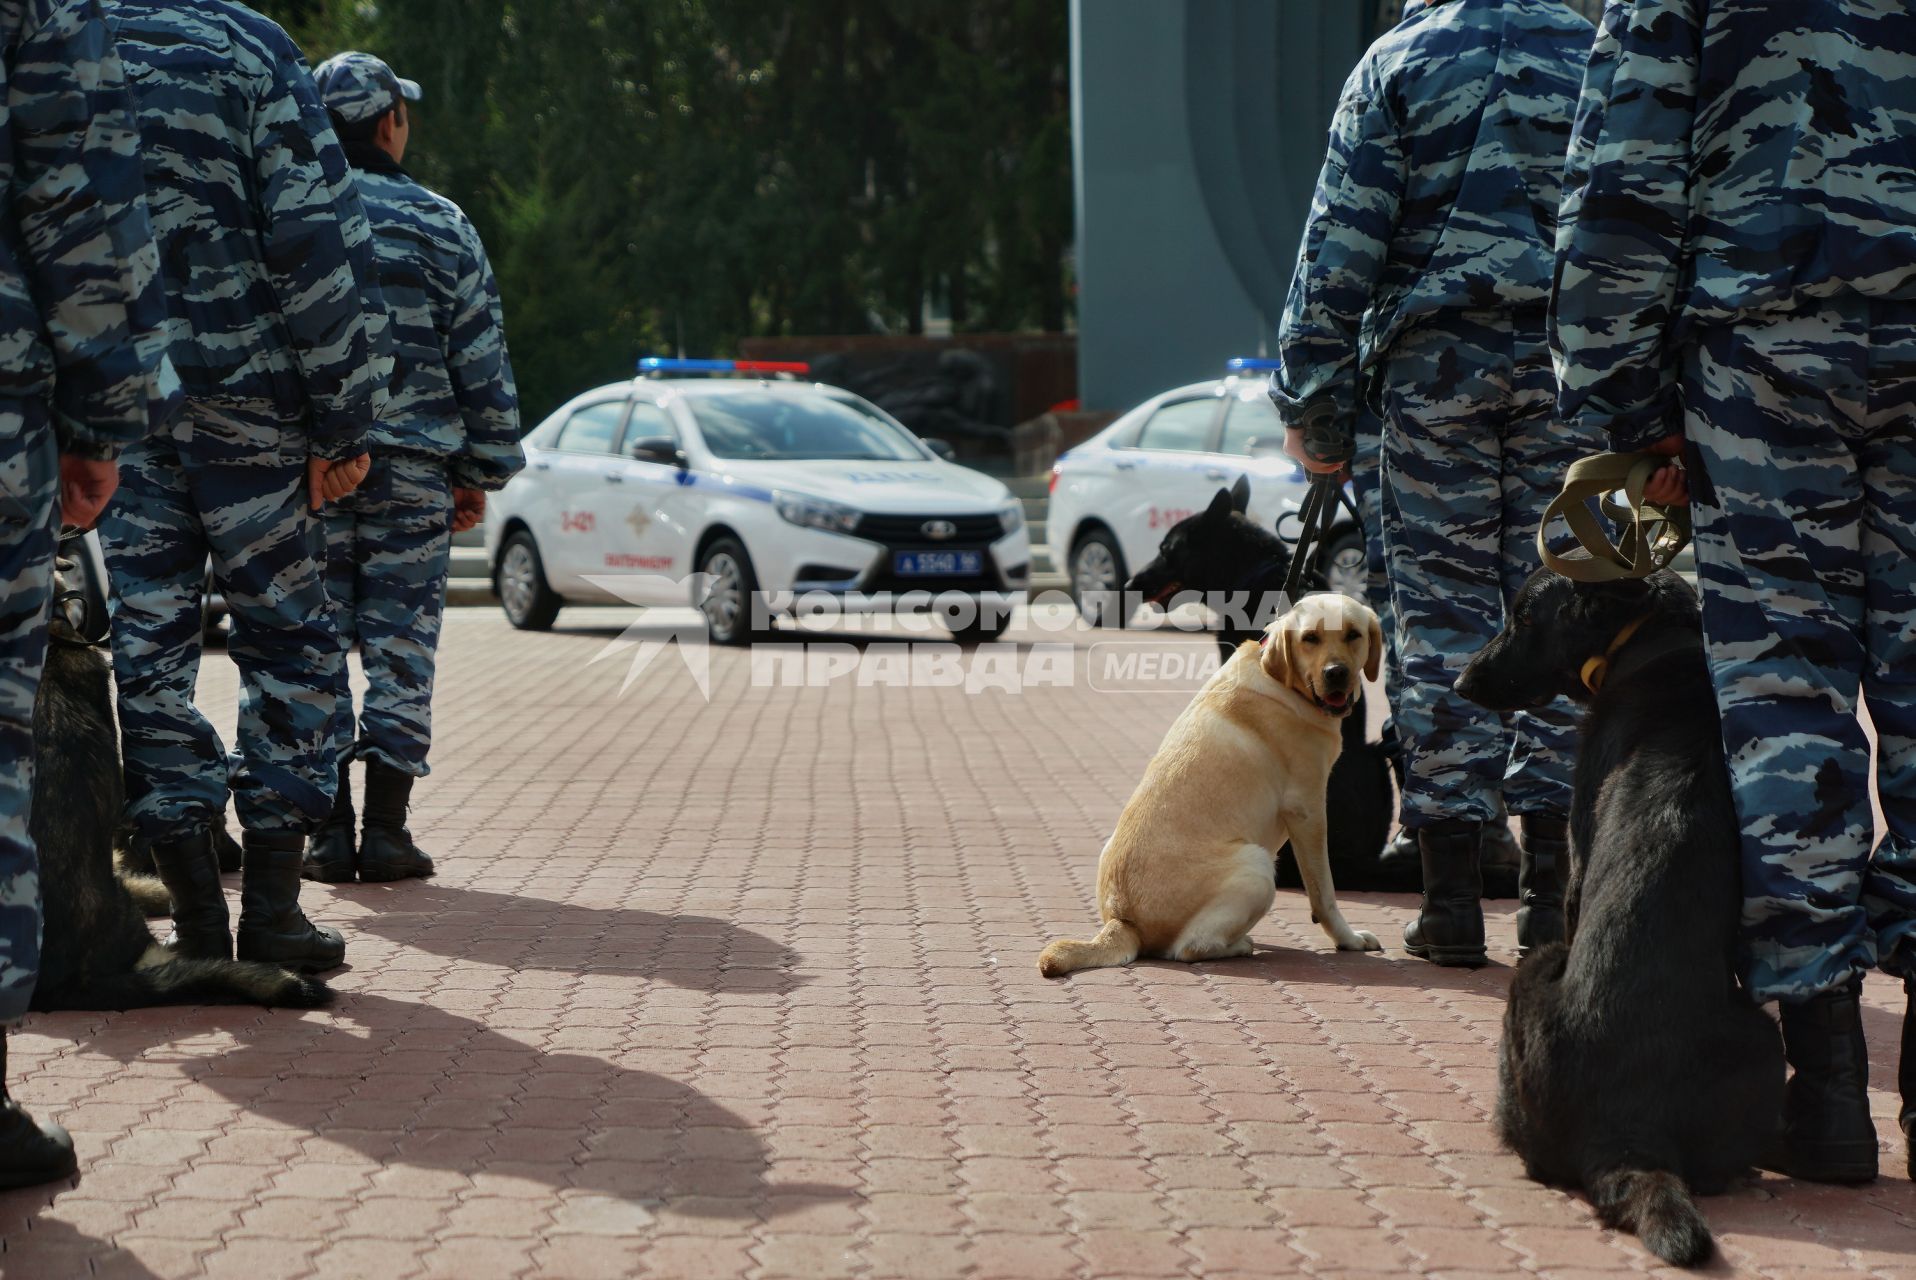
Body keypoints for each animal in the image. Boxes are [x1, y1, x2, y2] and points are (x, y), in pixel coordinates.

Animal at [1042, 594, 1387, 973]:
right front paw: (1348, 939)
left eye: (1353, 635)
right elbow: (1324, 893)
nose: (1336, 673)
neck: (1281, 680)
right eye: (1310, 638)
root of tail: (1122, 921)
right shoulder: (1308, 810)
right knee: (1189, 949)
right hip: (1258, 864)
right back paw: (1239, 945)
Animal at [1456, 571, 1785, 1272]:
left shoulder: (1575, 869)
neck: (1652, 639)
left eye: (1525, 617)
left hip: (1540, 969)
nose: (1462, 682)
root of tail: (1626, 1133)